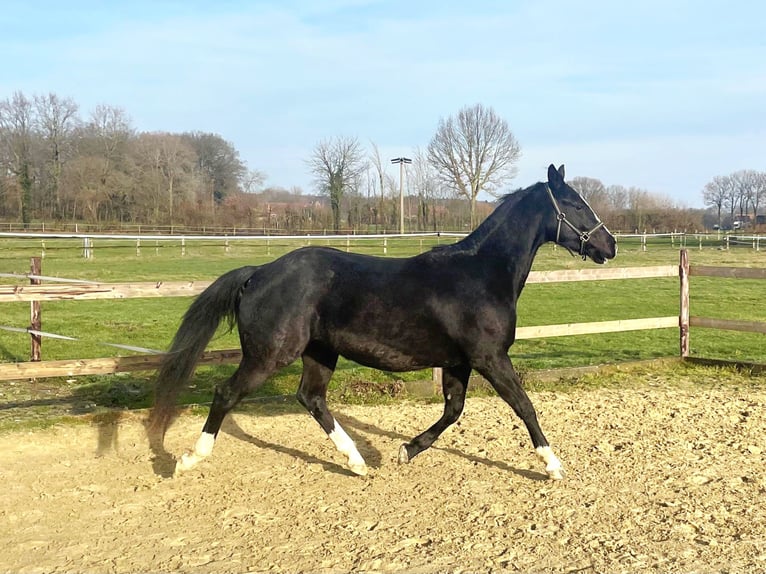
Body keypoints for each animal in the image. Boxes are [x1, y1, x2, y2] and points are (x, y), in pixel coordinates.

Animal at [147, 164, 616, 480]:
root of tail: (258, 273)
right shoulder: (490, 357)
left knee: (311, 398)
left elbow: (453, 411)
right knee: (226, 394)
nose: (609, 245)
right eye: (574, 203)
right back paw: (187, 459)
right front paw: (553, 465)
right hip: (270, 355)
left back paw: (357, 462)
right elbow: (524, 406)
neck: (481, 273)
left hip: (320, 353)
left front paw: (406, 450)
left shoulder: (459, 362)